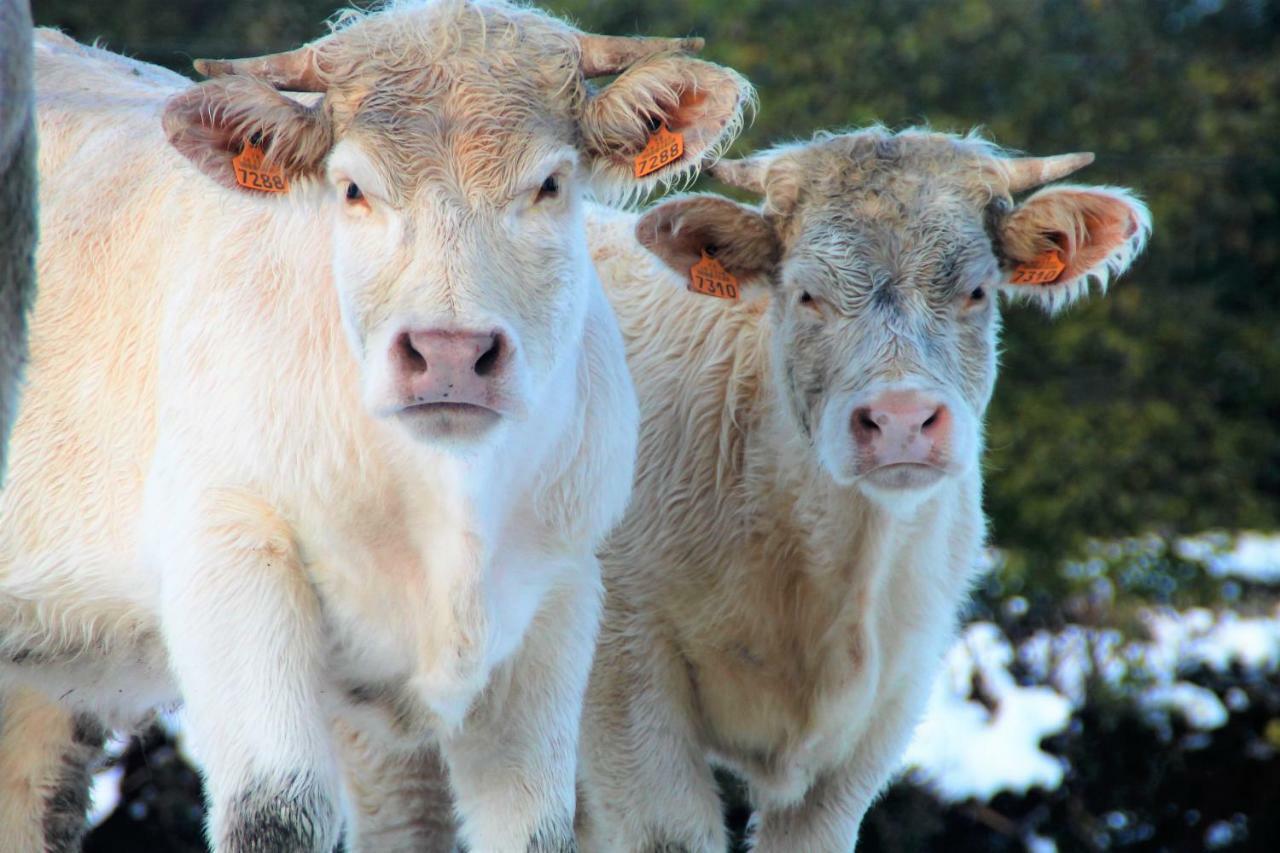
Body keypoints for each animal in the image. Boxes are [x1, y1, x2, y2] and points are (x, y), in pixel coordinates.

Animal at [0, 1, 747, 850]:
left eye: (551, 184)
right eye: (352, 188)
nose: (450, 352)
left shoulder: (559, 596)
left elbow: (535, 828)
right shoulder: (228, 555)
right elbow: (278, 809)